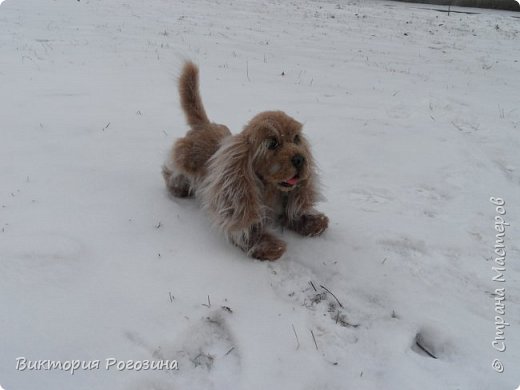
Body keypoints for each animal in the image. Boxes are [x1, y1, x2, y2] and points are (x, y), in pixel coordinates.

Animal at [162, 61, 328, 260]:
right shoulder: (235, 203)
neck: (271, 191)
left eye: (296, 139)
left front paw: (312, 222)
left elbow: (292, 213)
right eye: (272, 143)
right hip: (184, 162)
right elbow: (248, 231)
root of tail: (204, 125)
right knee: (171, 172)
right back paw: (178, 188)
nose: (300, 159)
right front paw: (268, 245)